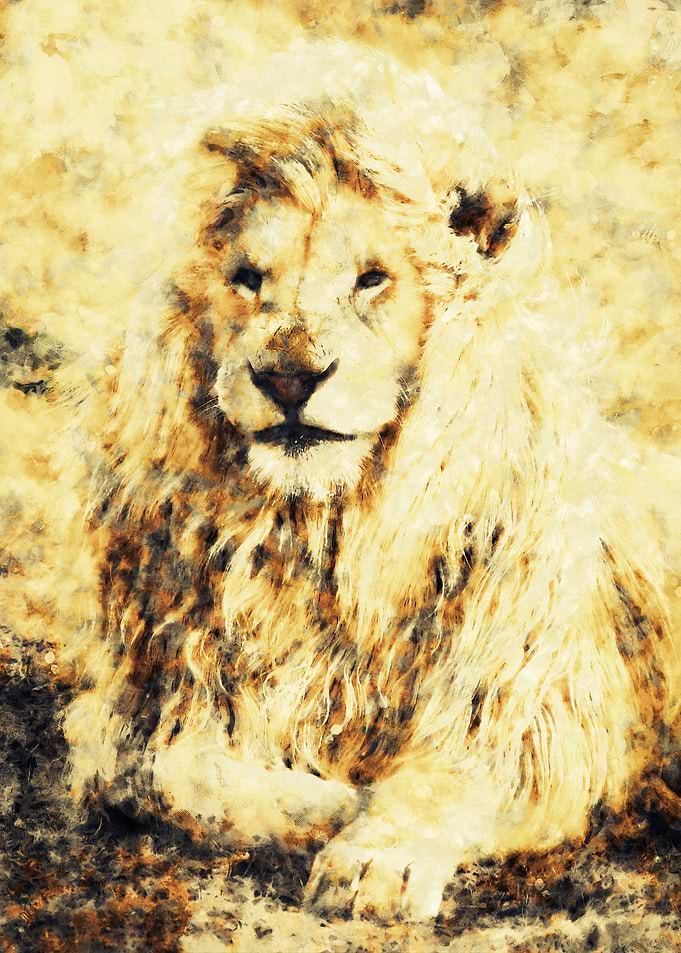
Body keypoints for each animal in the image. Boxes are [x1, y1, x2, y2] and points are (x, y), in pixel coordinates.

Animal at [62, 42, 678, 920]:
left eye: (371, 278)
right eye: (248, 278)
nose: (288, 375)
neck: (318, 533)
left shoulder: (536, 703)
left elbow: (448, 774)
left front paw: (371, 857)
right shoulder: (149, 698)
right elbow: (169, 771)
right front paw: (326, 805)